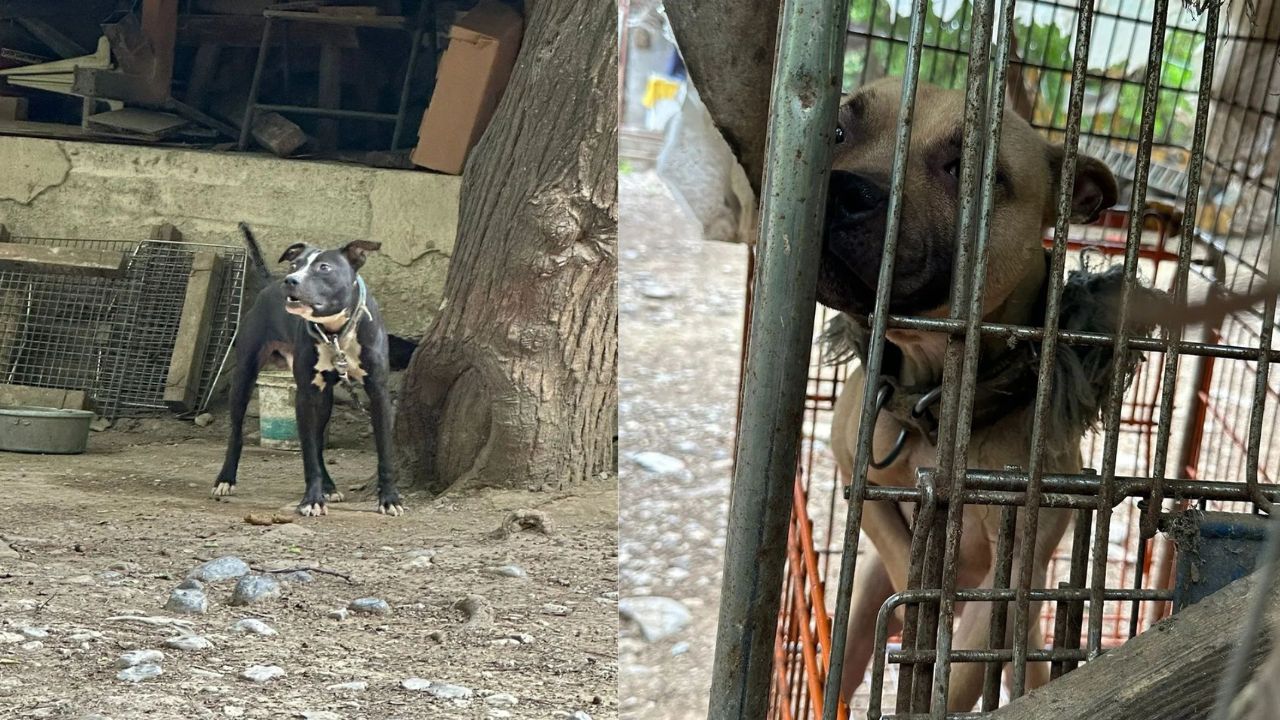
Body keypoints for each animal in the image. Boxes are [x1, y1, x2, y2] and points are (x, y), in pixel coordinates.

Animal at [213, 221, 404, 512]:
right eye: (295, 265)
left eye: (324, 267)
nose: (290, 280)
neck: (335, 331)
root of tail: (270, 283)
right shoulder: (305, 395)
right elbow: (309, 455)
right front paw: (311, 500)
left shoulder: (378, 393)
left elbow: (385, 452)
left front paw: (390, 499)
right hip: (245, 376)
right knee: (237, 432)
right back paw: (225, 479)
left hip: (323, 399)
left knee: (318, 441)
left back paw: (330, 487)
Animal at [819, 77, 1131, 707]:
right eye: (837, 131)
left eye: (968, 170)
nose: (841, 191)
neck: (939, 394)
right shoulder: (858, 476)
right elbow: (902, 563)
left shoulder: (1012, 575)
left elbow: (960, 670)